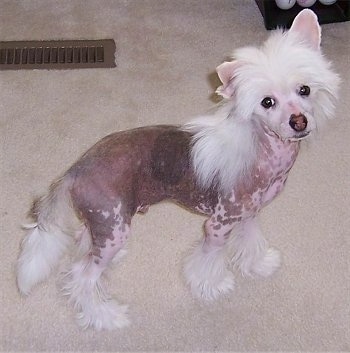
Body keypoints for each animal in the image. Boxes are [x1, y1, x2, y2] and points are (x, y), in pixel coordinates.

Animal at [16, 9, 340, 328]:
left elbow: (251, 241)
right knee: (83, 276)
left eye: (304, 89)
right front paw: (211, 286)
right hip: (113, 226)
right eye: (267, 102)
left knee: (84, 240)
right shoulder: (218, 224)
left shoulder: (250, 214)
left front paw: (258, 264)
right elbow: (209, 260)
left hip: (108, 221)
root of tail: (75, 170)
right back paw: (105, 316)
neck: (261, 148)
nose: (298, 121)